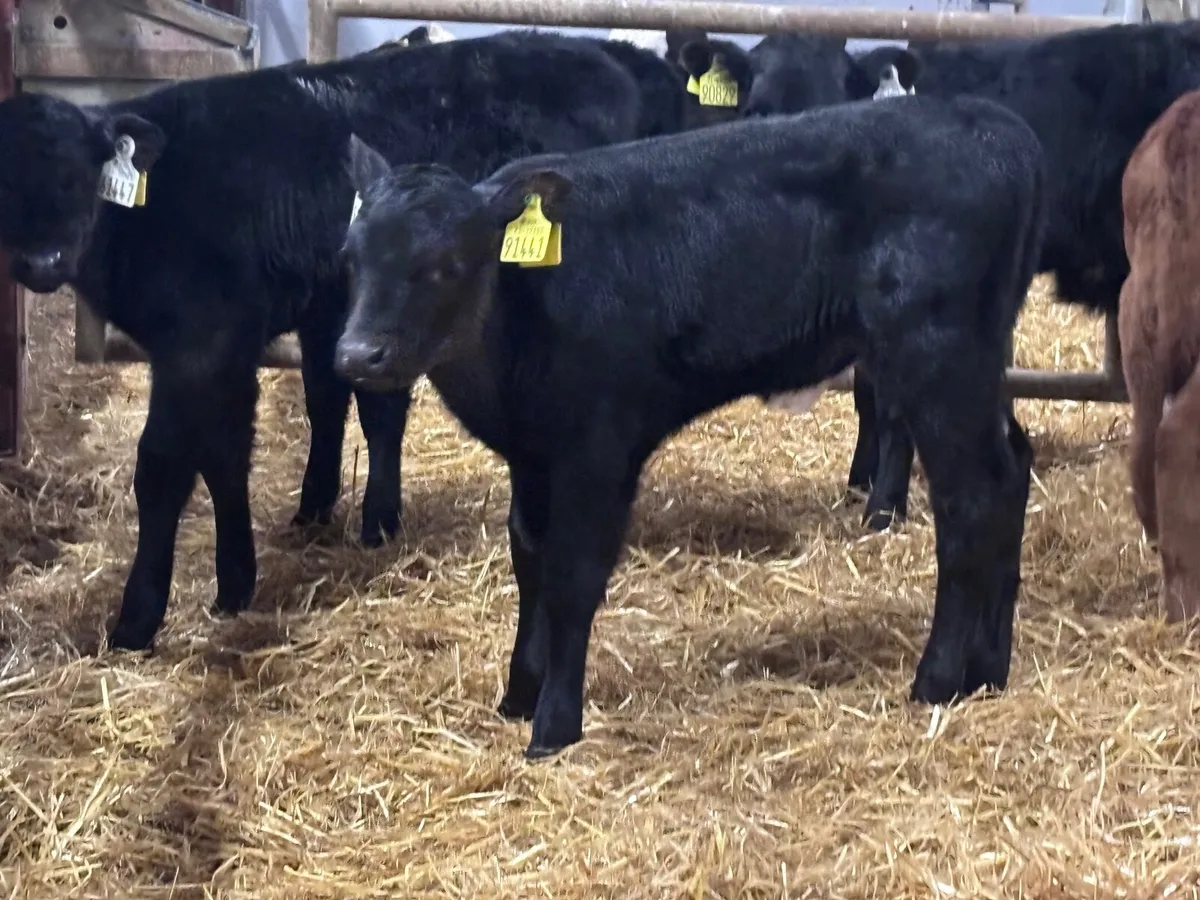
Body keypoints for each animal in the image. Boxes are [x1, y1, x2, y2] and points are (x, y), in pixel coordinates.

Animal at [0, 30, 668, 653]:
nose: (42, 261)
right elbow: (229, 451)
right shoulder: (231, 344)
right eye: (6, 186)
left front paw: (137, 620)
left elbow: (163, 467)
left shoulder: (200, 344)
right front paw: (236, 580)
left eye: (78, 176)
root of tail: (598, 54)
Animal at [333, 93, 1047, 759]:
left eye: (446, 262)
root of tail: (992, 123)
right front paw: (517, 695)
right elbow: (529, 558)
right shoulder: (532, 453)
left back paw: (937, 680)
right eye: (352, 255)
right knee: (1011, 469)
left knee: (967, 500)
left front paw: (554, 726)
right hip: (977, 356)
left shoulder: (599, 446)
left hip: (936, 352)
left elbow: (572, 576)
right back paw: (990, 670)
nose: (358, 354)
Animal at [681, 21, 1200, 535]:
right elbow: (868, 392)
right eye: (756, 112)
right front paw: (860, 482)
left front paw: (884, 508)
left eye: (836, 106)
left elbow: (893, 403)